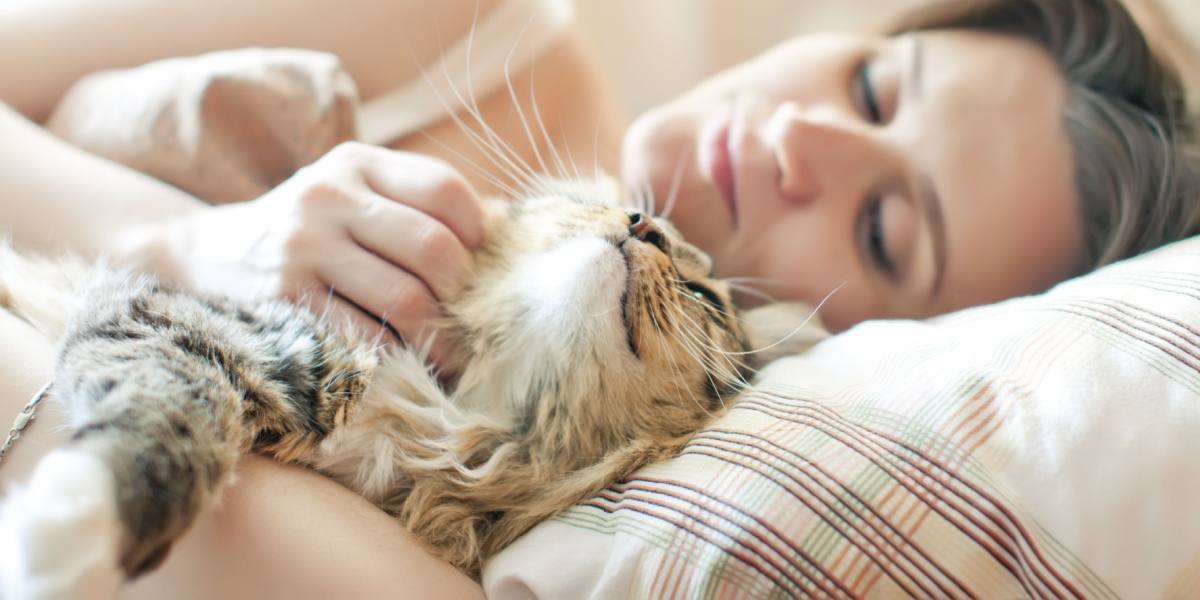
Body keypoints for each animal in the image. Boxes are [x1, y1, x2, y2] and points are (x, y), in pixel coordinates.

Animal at [0, 180, 806, 597]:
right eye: (616, 198)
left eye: (703, 296)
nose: (642, 225)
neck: (447, 414)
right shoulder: (174, 321)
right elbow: (168, 413)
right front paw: (74, 522)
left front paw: (62, 535)